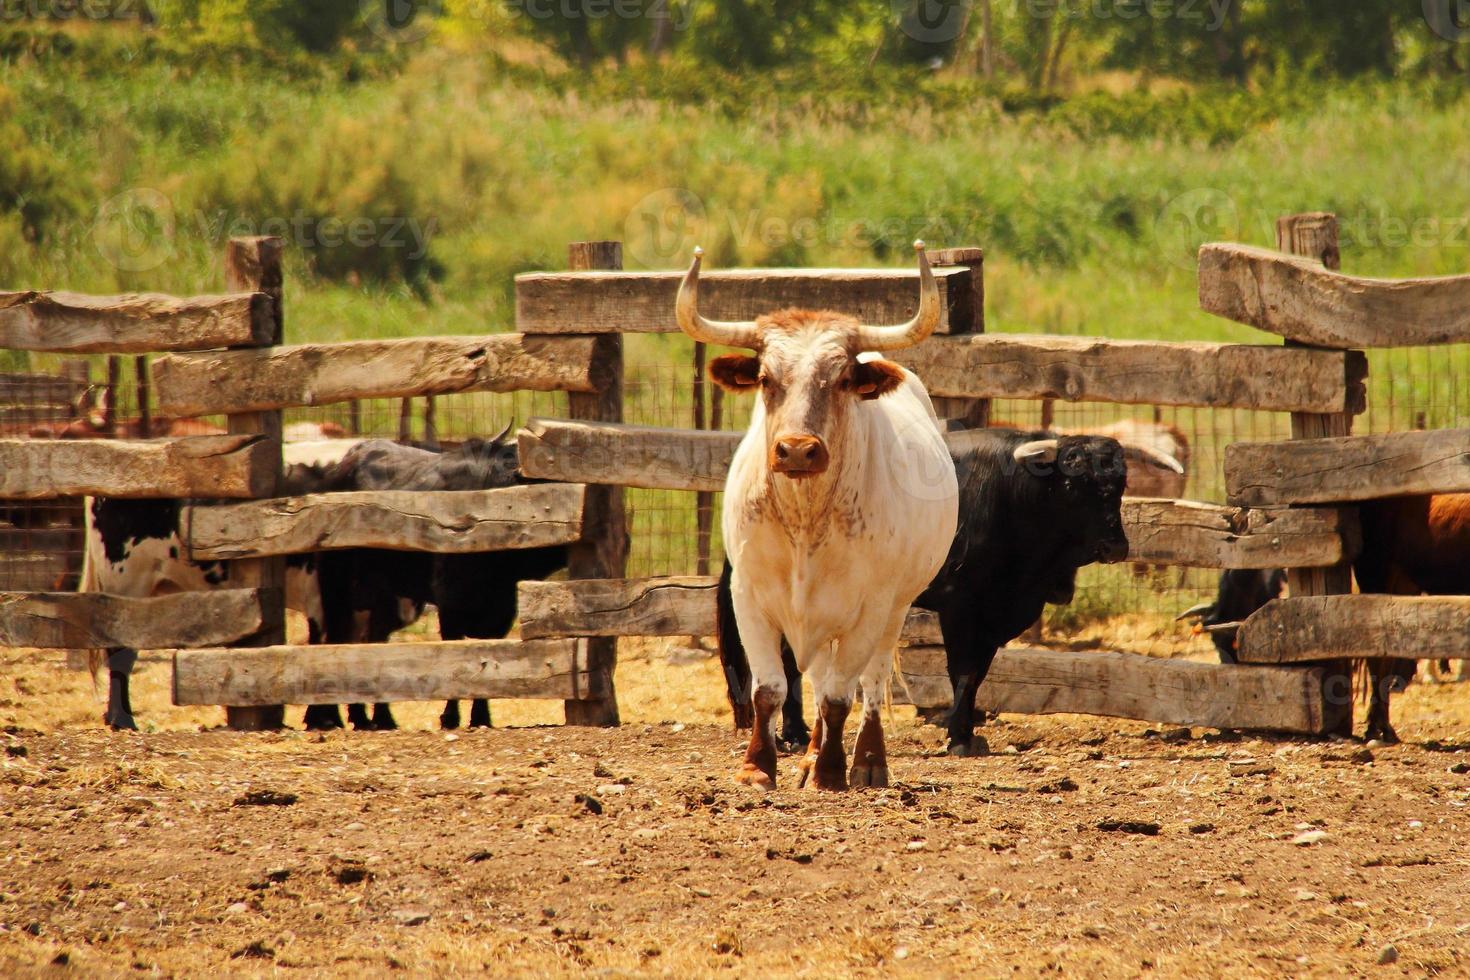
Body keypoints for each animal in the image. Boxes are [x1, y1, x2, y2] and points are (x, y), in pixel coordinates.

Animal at [679, 240, 958, 793]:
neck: (805, 521)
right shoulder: (750, 596)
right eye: (765, 378)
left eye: (843, 378)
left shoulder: (870, 608)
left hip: (894, 610)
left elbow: (839, 695)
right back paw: (808, 757)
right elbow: (770, 688)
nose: (797, 451)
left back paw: (867, 761)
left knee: (867, 683)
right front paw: (757, 767)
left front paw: (832, 771)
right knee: (816, 677)